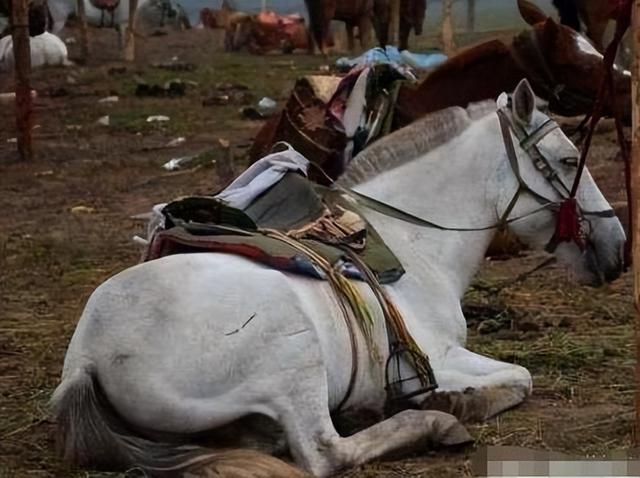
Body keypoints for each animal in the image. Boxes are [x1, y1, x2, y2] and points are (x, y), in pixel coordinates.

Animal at [51, 80, 624, 476]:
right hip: (294, 358)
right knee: (325, 451)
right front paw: (454, 400)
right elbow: (521, 378)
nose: (619, 249)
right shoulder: (435, 358)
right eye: (568, 159)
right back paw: (432, 421)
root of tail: (87, 360)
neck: (413, 245)